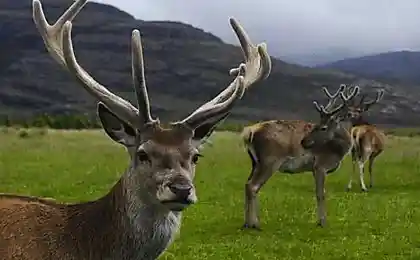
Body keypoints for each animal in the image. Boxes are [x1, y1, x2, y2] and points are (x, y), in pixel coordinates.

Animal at [241, 84, 366, 229]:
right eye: (316, 125)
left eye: (323, 127)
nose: (303, 141)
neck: (339, 150)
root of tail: (249, 133)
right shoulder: (320, 166)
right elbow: (320, 194)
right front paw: (322, 222)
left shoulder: (315, 169)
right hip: (269, 161)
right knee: (252, 186)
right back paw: (254, 224)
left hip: (255, 162)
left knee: (247, 184)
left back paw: (247, 223)